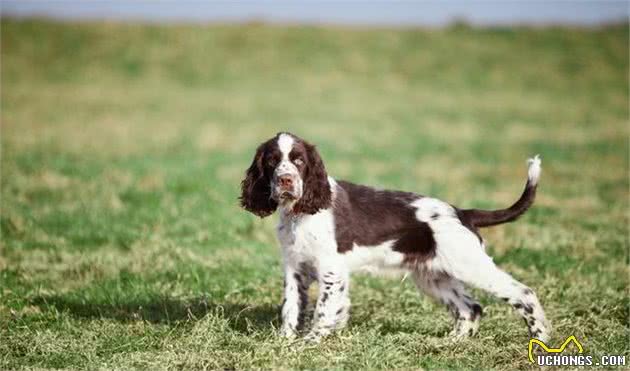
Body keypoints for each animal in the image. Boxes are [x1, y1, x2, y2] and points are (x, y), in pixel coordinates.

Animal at [239, 132, 552, 344]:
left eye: (299, 160)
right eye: (272, 161)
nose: (285, 180)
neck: (300, 212)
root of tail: (462, 213)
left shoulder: (331, 269)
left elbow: (324, 310)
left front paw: (311, 342)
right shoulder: (295, 268)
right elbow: (291, 308)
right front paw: (285, 342)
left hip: (470, 265)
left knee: (524, 293)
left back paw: (541, 338)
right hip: (433, 276)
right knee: (470, 308)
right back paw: (453, 342)